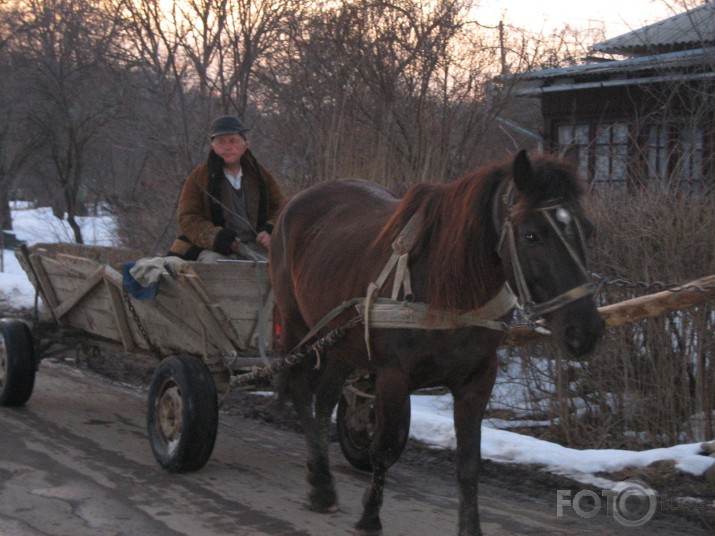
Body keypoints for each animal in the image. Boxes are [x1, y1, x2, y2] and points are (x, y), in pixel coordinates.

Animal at [268, 151, 604, 536]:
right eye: (531, 234)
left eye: (588, 230)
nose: (586, 330)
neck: (449, 291)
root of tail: (294, 203)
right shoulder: (393, 376)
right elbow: (385, 448)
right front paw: (370, 518)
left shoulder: (478, 378)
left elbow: (469, 462)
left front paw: (470, 528)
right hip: (299, 328)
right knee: (300, 391)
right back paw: (322, 485)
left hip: (341, 343)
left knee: (324, 404)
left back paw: (320, 473)